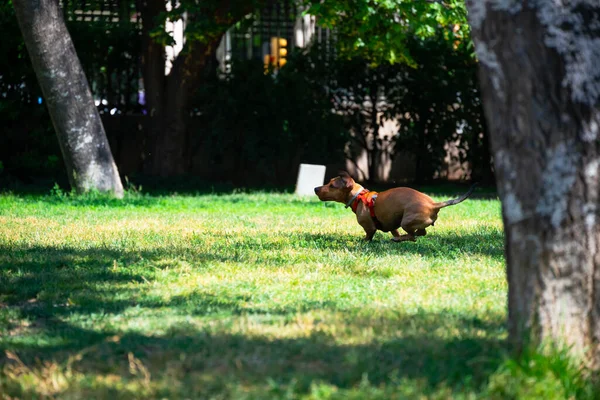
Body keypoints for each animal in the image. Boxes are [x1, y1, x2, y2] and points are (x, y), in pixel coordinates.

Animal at [314, 171, 478, 241]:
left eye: (332, 185)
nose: (315, 188)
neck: (359, 197)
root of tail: (433, 204)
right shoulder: (391, 225)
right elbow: (394, 230)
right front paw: (396, 236)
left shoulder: (369, 227)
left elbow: (368, 236)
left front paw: (363, 242)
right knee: (420, 233)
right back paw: (400, 238)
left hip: (407, 221)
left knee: (413, 236)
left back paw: (399, 240)